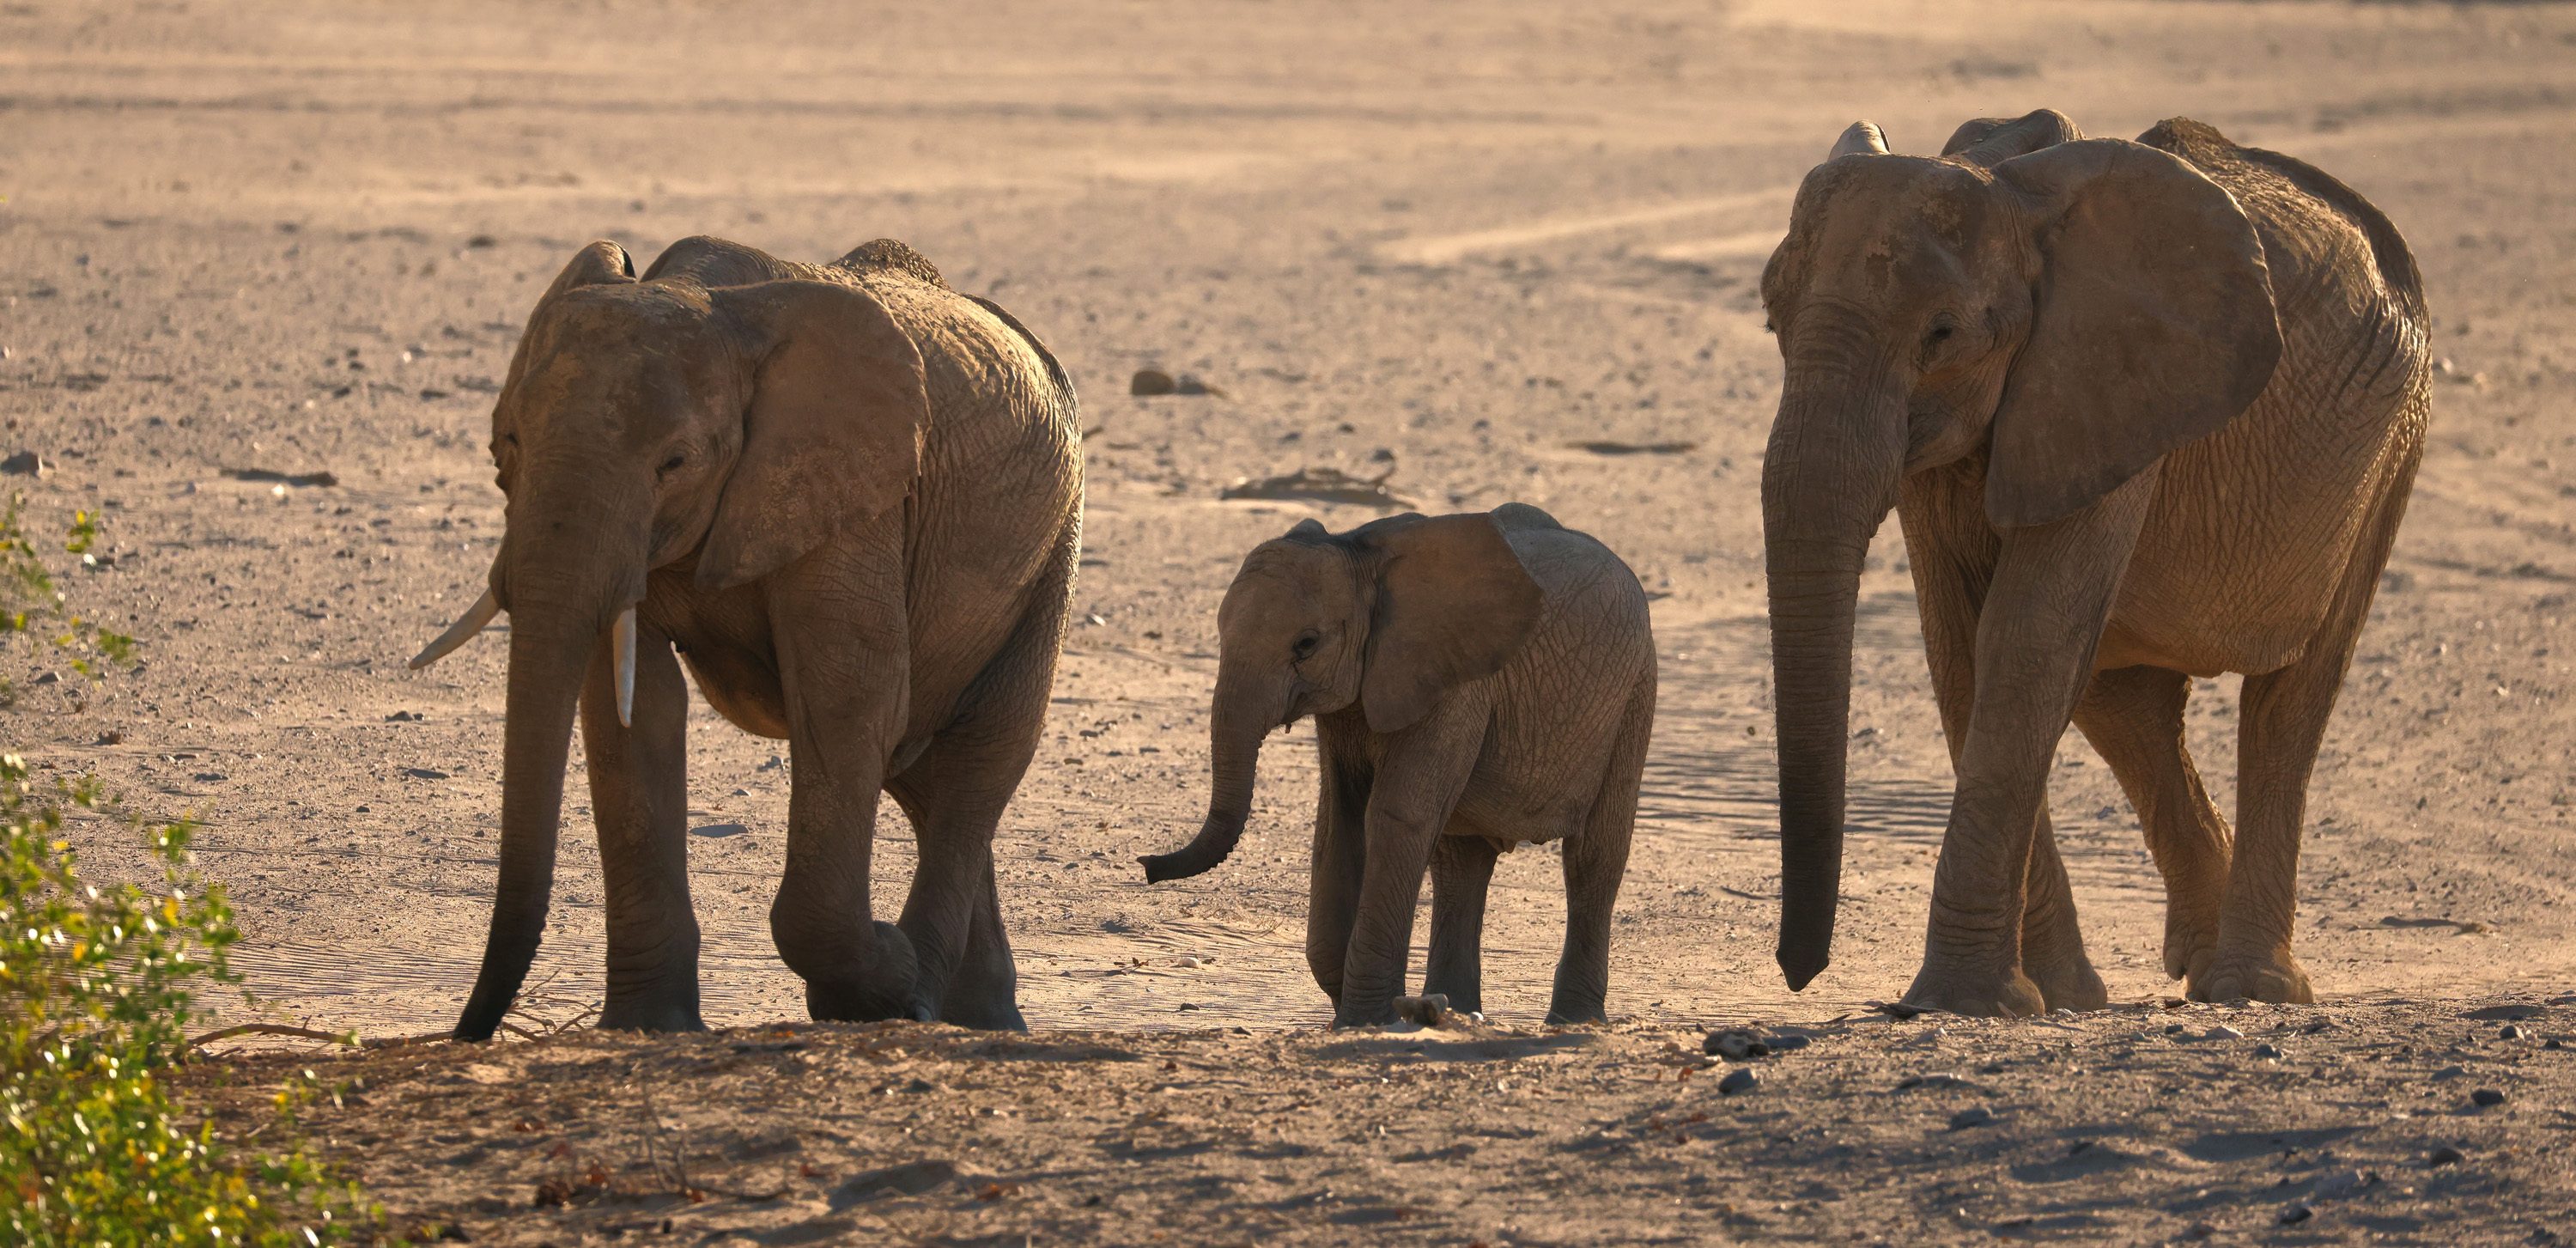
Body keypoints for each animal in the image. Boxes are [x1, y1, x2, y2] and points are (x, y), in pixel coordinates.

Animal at [408, 234, 1082, 1039]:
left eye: (675, 462)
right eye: (505, 443)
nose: (469, 1028)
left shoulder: (855, 497)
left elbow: (849, 696)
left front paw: (878, 983)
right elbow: (633, 707)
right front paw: (650, 1026)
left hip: (1052, 553)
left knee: (981, 757)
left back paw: (922, 995)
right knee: (924, 778)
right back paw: (981, 1017)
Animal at [1140, 505, 1657, 1028]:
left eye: (1306, 644)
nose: (1146, 866)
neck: (1358, 552)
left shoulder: (1455, 684)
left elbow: (1395, 816)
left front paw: (1367, 1020)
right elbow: (1339, 821)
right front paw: (1364, 1015)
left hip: (1636, 692)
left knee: (1594, 856)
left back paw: (1572, 1022)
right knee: (1460, 863)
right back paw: (1459, 1012)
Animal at [1755, 109, 2430, 1016]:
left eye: (1942, 335)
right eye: (1773, 319)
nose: (1800, 973)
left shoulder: (2112, 380)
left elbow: (2023, 639)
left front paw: (1966, 1002)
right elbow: (1966, 652)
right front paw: (2056, 997)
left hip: (2392, 447)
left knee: (2290, 699)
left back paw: (2250, 987)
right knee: (2124, 705)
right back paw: (2192, 960)